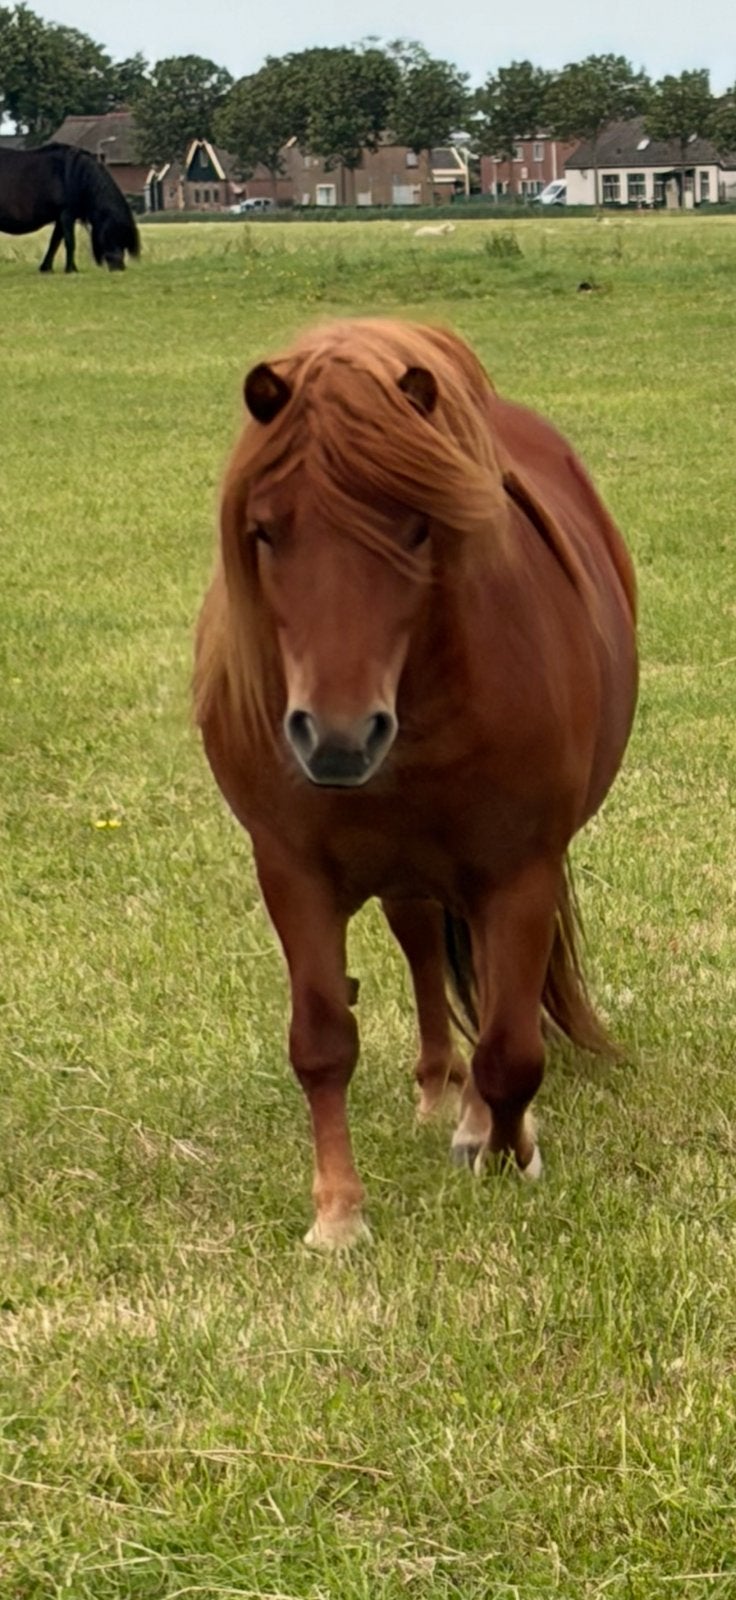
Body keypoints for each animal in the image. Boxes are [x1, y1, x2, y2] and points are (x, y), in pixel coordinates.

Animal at [0, 142, 140, 272]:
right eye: (115, 233)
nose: (119, 268)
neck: (77, 176)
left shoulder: (60, 218)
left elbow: (55, 242)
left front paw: (47, 268)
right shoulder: (67, 214)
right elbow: (70, 242)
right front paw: (71, 269)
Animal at [194, 318, 638, 1249]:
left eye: (415, 527)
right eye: (265, 531)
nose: (336, 737)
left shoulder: (518, 870)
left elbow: (511, 1048)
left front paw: (507, 1152)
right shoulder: (290, 869)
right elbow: (322, 1039)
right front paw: (337, 1213)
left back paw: (472, 1120)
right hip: (406, 872)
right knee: (424, 949)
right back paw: (438, 1091)